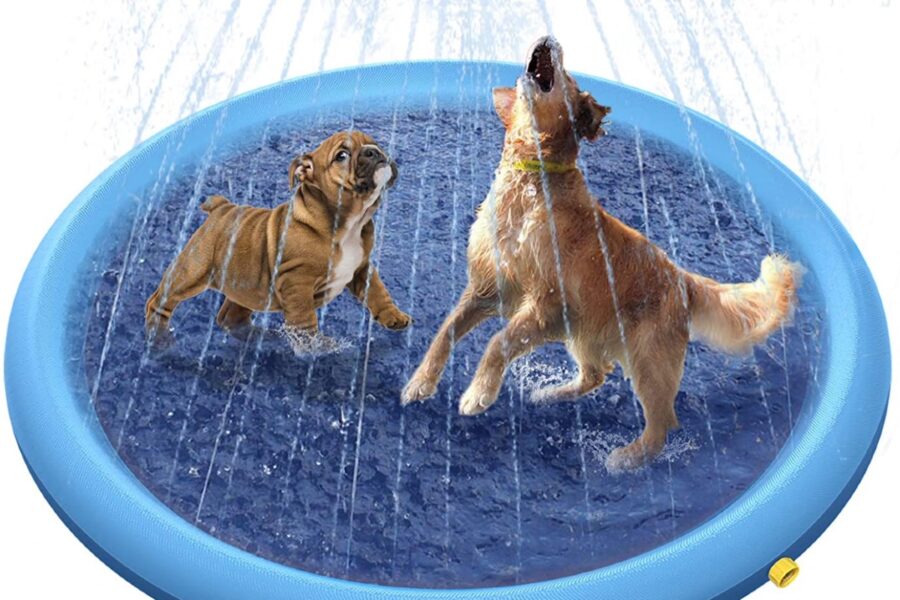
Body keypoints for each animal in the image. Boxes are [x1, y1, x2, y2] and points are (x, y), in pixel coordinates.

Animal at [146, 130, 410, 346]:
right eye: (342, 156)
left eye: (374, 143)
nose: (374, 151)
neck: (350, 223)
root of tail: (222, 207)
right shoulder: (297, 281)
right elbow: (304, 317)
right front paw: (314, 348)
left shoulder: (362, 267)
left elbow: (377, 292)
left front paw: (394, 316)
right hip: (192, 270)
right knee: (160, 300)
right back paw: (158, 338)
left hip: (246, 283)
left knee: (231, 316)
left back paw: (255, 336)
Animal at [404, 37, 800, 472]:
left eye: (569, 76)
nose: (549, 39)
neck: (530, 181)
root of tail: (683, 278)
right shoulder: (488, 289)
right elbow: (444, 332)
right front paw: (420, 382)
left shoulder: (546, 304)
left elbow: (497, 342)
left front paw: (478, 395)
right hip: (584, 330)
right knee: (597, 374)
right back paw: (550, 394)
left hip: (647, 360)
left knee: (662, 423)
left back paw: (626, 459)